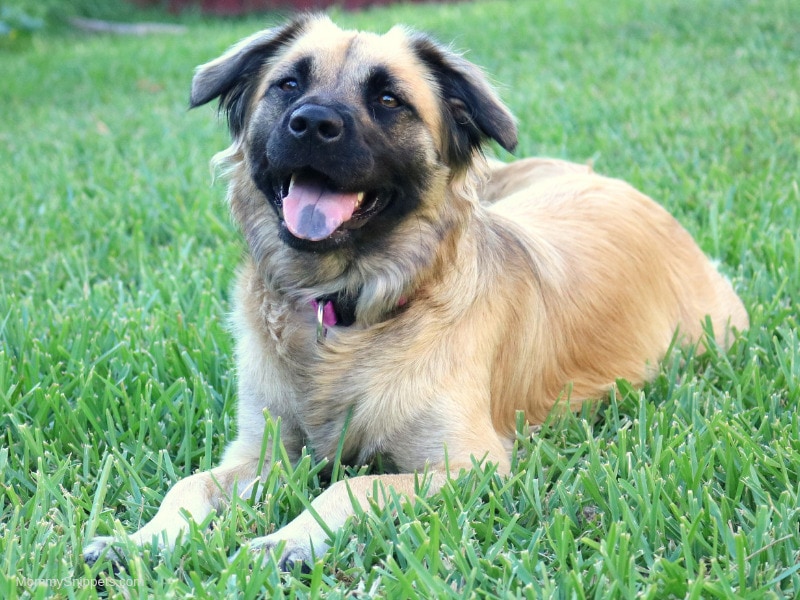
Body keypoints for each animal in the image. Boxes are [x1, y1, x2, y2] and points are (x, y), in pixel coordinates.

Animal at [83, 12, 752, 568]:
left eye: (388, 99)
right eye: (288, 85)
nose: (312, 124)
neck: (346, 308)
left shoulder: (469, 466)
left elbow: (353, 485)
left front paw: (281, 541)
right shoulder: (263, 452)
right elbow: (189, 484)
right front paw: (141, 540)